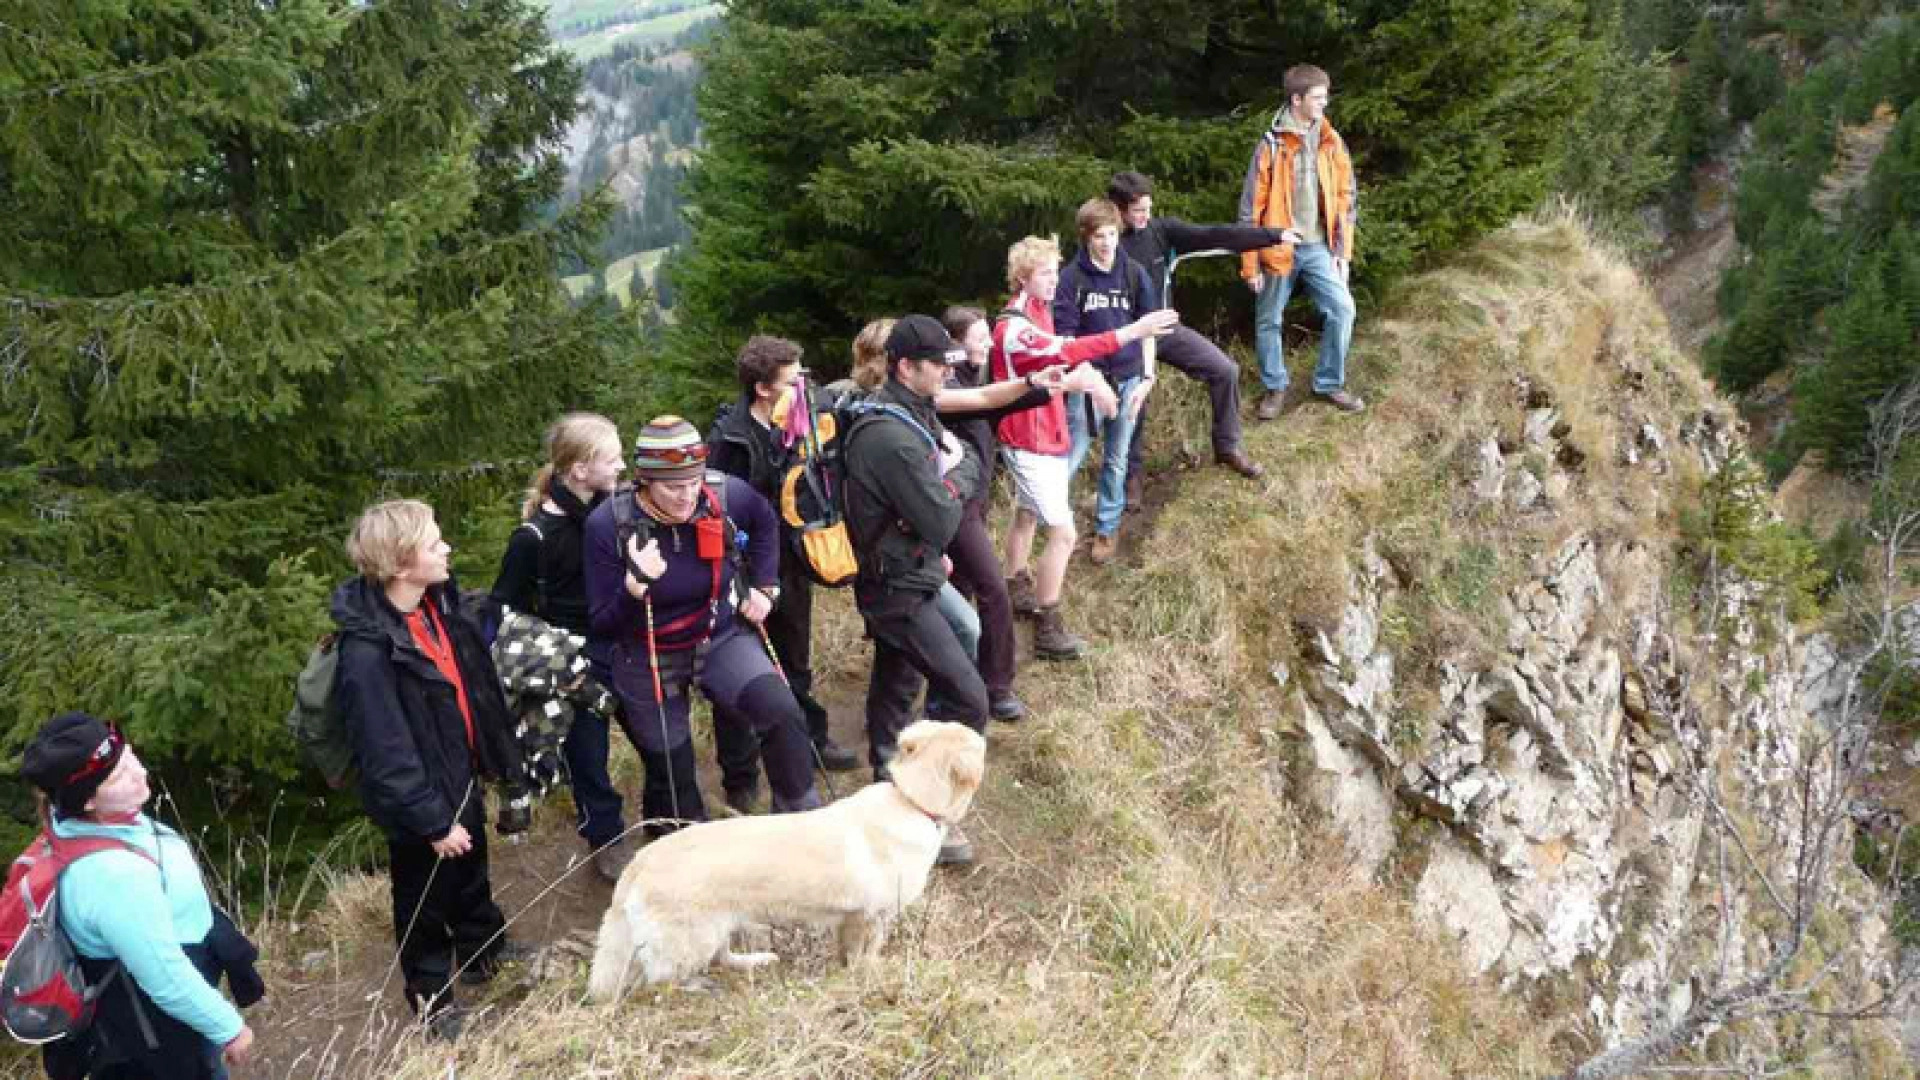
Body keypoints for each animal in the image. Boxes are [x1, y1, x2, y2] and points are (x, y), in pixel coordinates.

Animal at [587, 718, 990, 999]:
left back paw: (755, 961)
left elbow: (847, 956)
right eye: (981, 746)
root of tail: (640, 861)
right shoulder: (873, 917)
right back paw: (698, 987)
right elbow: (867, 956)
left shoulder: (851, 920)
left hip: (720, 925)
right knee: (662, 979)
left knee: (721, 957)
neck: (911, 801)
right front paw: (870, 977)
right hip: (691, 940)